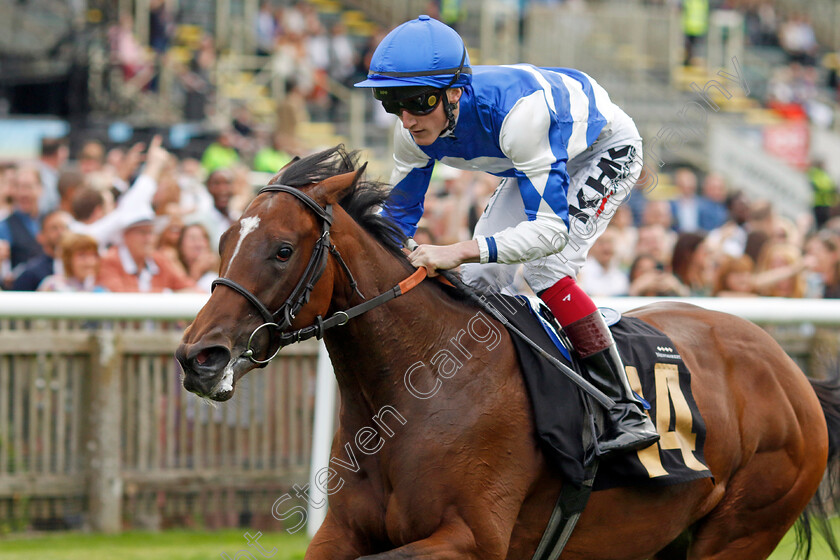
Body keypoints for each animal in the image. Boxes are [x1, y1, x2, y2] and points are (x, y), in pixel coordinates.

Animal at [177, 149, 840, 560]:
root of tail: (792, 376)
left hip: (741, 531)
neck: (418, 388)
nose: (198, 357)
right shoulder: (343, 531)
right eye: (222, 239)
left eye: (283, 249)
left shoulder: (471, 538)